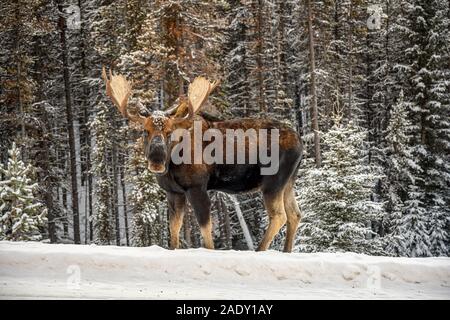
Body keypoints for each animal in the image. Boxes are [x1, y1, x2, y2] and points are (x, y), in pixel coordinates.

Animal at [103, 68, 302, 252]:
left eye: (169, 132)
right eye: (145, 131)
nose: (157, 161)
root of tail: (300, 143)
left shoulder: (197, 187)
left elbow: (206, 230)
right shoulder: (173, 192)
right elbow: (174, 229)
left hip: (273, 182)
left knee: (279, 215)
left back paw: (260, 249)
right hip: (288, 182)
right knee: (295, 214)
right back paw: (286, 250)